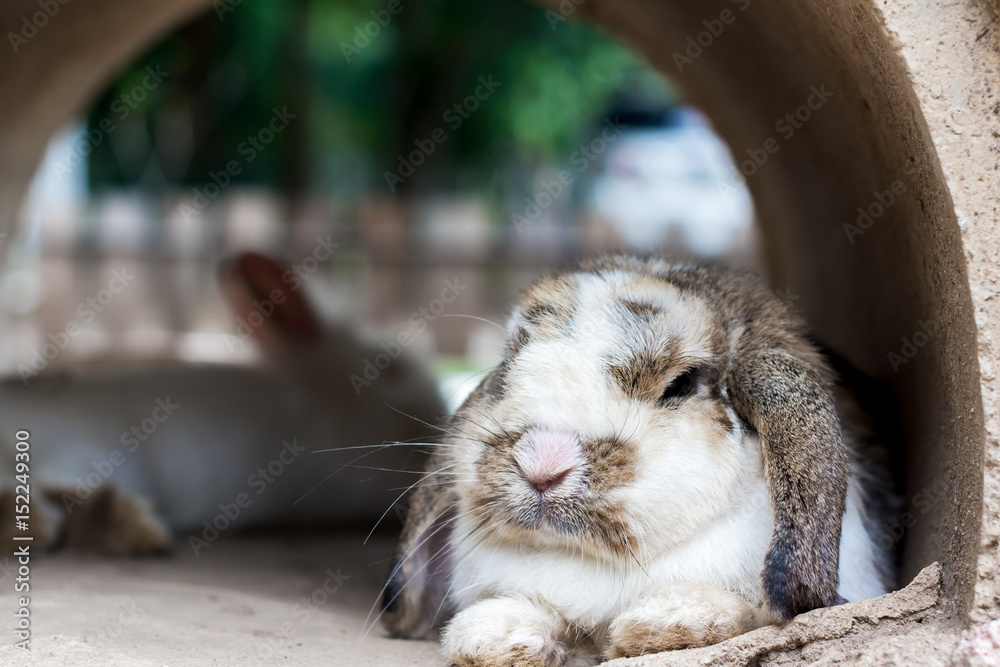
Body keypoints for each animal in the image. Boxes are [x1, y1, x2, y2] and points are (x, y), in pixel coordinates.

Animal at [380, 255, 898, 665]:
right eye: (507, 368)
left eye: (680, 384)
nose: (543, 462)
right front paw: (492, 638)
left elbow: (743, 613)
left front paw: (660, 626)